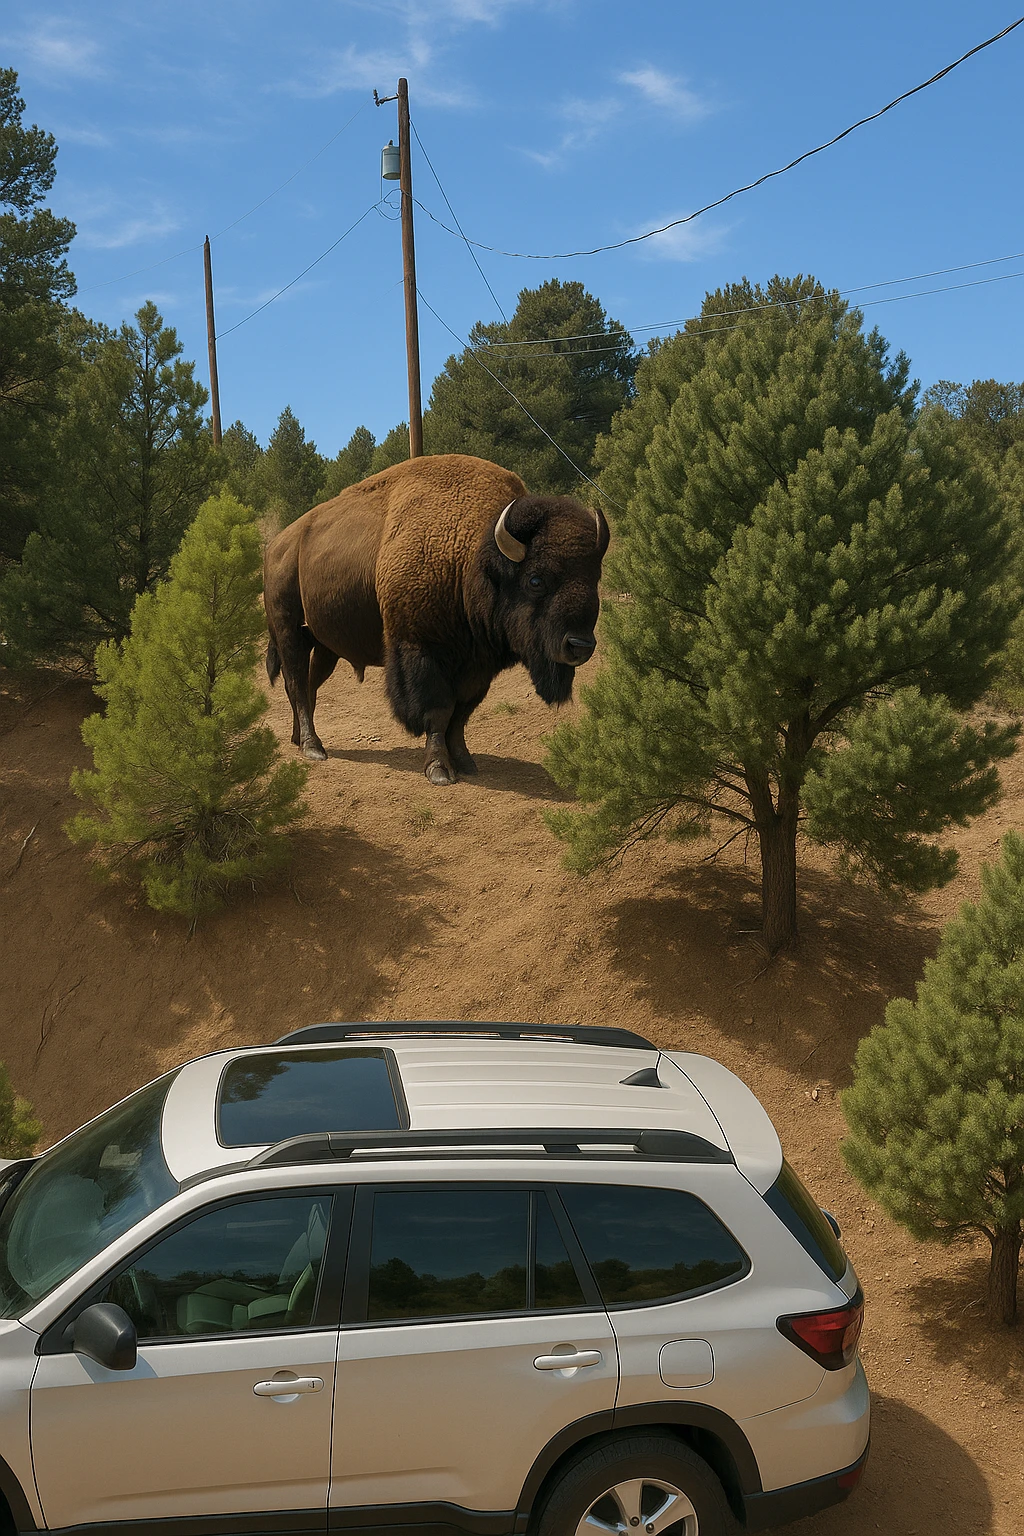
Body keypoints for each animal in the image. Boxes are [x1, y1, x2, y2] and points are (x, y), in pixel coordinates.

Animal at [263, 453, 609, 784]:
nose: (579, 646)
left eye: (594, 577)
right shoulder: (422, 650)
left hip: (326, 646)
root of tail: (278, 545)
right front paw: (439, 770)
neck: (471, 557)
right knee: (296, 683)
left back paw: (299, 739)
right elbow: (439, 711)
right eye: (536, 580)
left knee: (310, 684)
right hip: (289, 631)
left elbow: (461, 714)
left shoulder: (477, 665)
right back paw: (313, 747)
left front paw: (466, 763)